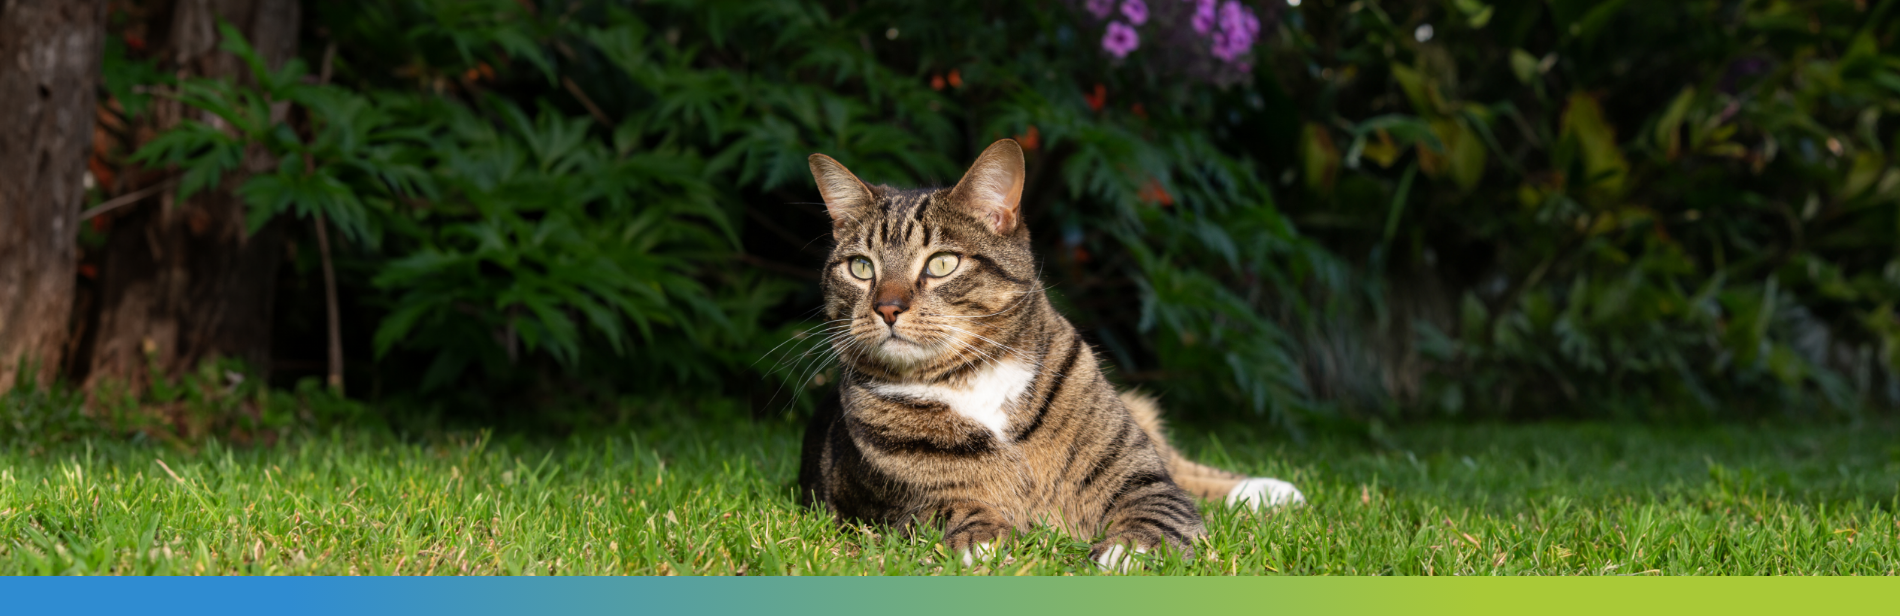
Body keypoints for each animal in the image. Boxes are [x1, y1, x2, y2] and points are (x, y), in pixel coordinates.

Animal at [790, 136, 1307, 570]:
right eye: (861, 268)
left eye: (942, 263)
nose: (887, 307)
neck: (969, 378)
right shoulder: (889, 503)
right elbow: (947, 505)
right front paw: (984, 540)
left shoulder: (1137, 473)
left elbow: (1160, 505)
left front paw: (1126, 552)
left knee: (1177, 466)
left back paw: (1270, 490)